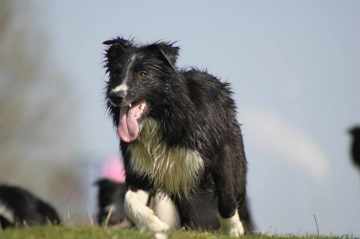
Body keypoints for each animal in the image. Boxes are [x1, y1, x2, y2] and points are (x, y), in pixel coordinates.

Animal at [102, 37, 249, 237]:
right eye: (116, 73)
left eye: (143, 74)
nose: (115, 96)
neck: (165, 117)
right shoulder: (139, 166)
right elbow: (129, 202)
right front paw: (154, 225)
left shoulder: (220, 153)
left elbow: (226, 197)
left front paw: (233, 230)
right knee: (186, 208)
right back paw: (190, 229)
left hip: (236, 161)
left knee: (237, 194)